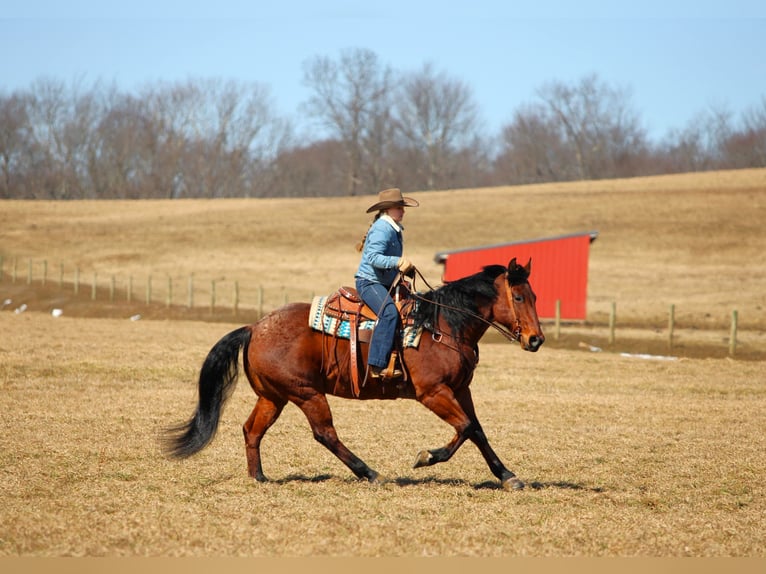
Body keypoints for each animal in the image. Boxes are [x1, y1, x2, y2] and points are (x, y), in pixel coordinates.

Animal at [163, 258, 544, 490]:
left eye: (536, 296)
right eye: (520, 297)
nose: (536, 339)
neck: (443, 325)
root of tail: (255, 327)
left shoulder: (460, 389)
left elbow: (476, 430)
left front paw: (507, 475)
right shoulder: (433, 392)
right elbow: (465, 428)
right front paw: (426, 457)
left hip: (274, 396)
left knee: (252, 430)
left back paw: (258, 476)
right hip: (306, 393)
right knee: (324, 433)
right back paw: (369, 472)